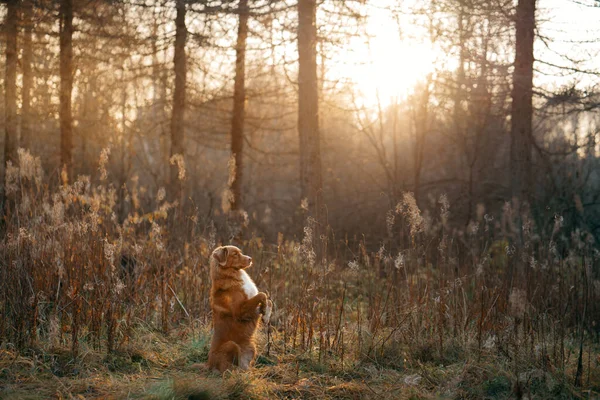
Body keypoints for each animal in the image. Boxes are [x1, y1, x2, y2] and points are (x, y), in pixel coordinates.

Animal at [206, 245, 272, 374]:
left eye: (240, 252)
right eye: (235, 254)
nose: (250, 259)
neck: (231, 275)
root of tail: (208, 366)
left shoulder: (252, 309)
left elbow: (268, 300)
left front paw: (266, 315)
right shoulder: (240, 311)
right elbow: (262, 295)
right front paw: (265, 313)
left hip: (252, 347)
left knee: (243, 366)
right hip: (232, 345)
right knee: (227, 369)